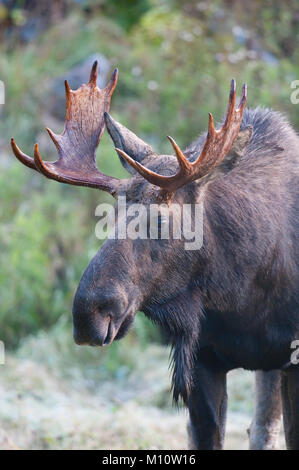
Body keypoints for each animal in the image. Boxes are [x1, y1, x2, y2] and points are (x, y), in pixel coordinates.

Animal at [10, 62, 298, 452]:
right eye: (110, 215)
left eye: (161, 220)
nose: (88, 315)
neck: (241, 295)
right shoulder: (204, 361)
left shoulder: (292, 359)